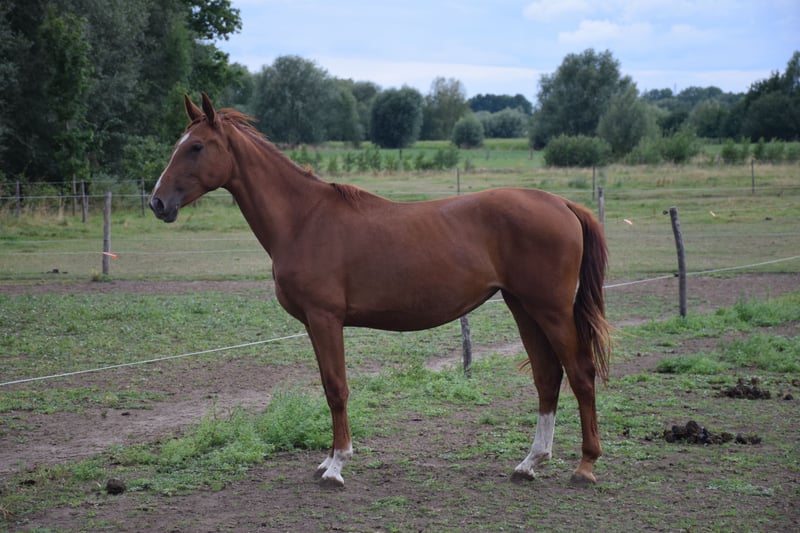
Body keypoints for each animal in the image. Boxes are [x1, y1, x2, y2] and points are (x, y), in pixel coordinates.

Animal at [149, 93, 611, 488]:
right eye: (179, 144)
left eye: (197, 147)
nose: (157, 203)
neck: (304, 220)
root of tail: (562, 204)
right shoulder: (315, 324)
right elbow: (327, 386)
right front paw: (327, 460)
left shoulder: (325, 319)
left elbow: (336, 388)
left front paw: (337, 466)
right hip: (523, 307)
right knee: (547, 376)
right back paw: (530, 463)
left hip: (550, 309)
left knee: (580, 373)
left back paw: (585, 466)